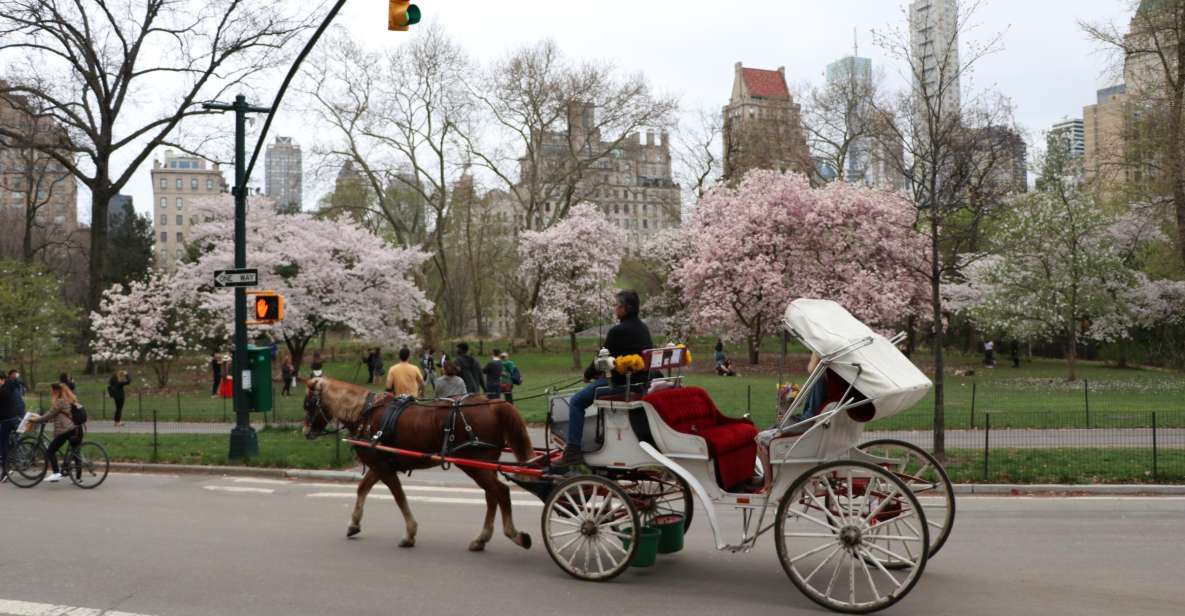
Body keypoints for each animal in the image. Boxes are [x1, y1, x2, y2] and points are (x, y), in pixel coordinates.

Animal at [300, 376, 533, 552]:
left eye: (309, 404)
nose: (305, 432)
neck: (365, 413)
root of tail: (493, 405)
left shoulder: (382, 468)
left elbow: (399, 497)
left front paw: (410, 533)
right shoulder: (380, 465)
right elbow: (362, 489)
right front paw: (354, 523)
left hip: (475, 465)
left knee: (500, 492)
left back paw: (514, 534)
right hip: (483, 466)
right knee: (491, 496)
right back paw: (481, 539)